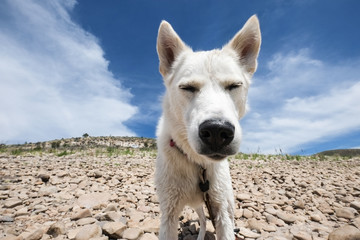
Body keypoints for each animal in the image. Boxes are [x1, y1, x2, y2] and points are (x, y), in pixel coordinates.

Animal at [155, 15, 262, 240]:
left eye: (234, 86)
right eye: (187, 88)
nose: (216, 132)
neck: (197, 164)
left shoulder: (221, 210)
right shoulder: (168, 214)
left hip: (225, 203)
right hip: (197, 205)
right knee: (203, 220)